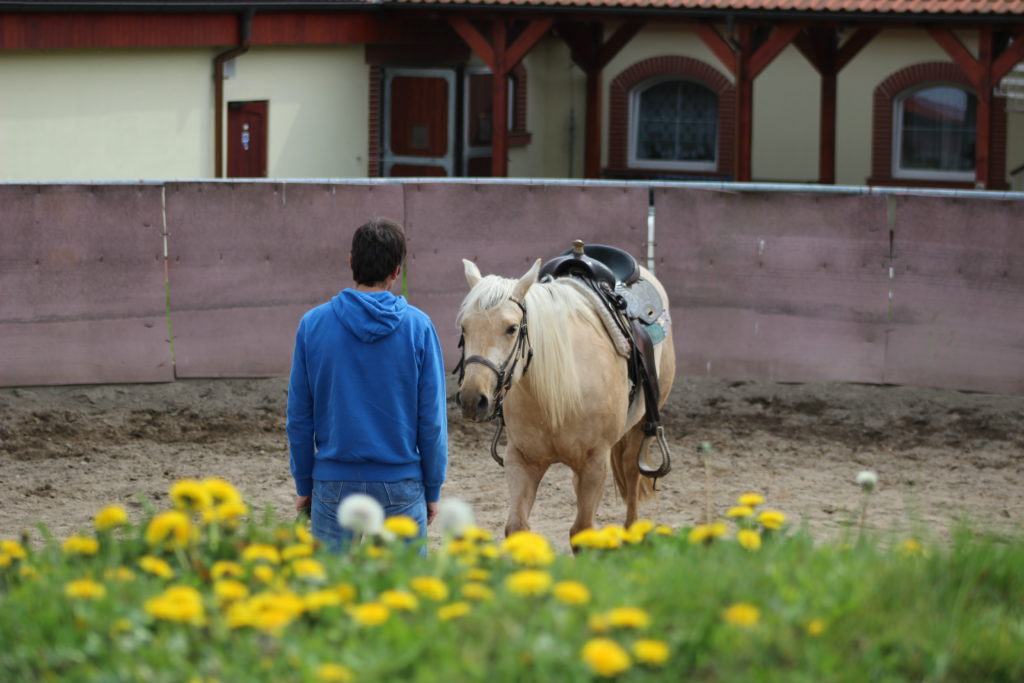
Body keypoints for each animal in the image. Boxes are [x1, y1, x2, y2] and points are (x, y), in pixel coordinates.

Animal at [455, 255, 676, 544]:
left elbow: (582, 530)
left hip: (640, 430)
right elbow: (516, 527)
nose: (472, 399)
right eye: (464, 327)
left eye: (511, 328)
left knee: (631, 475)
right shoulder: (522, 459)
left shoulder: (595, 462)